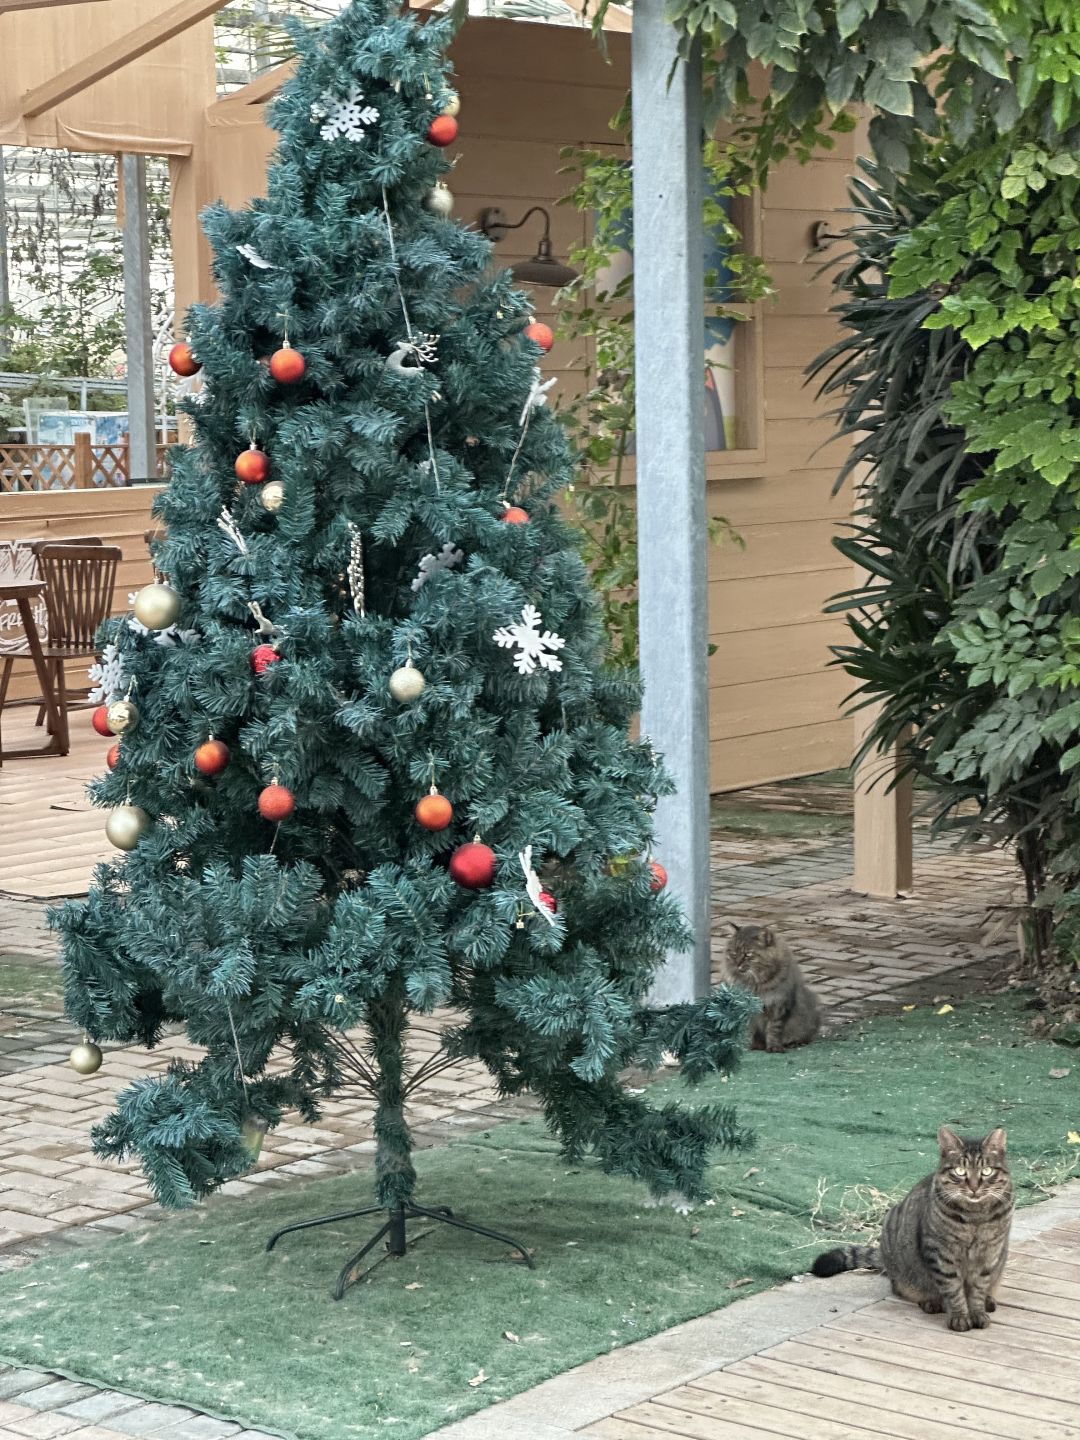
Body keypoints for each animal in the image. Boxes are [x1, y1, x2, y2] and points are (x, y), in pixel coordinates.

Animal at [812, 1123, 1013, 1336]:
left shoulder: (989, 1254)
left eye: (986, 1171)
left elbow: (978, 1289)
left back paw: (988, 1301)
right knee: (903, 1288)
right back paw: (930, 1301)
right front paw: (959, 1316)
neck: (975, 1216)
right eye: (960, 1171)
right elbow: (953, 1289)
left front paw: (977, 1312)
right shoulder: (941, 1254)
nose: (974, 1187)